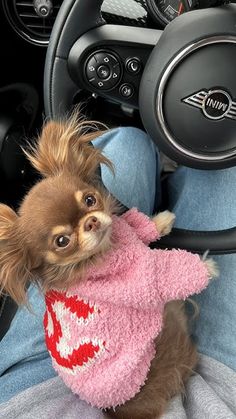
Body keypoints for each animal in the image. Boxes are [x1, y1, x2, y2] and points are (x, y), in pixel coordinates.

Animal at [0, 116, 218, 419]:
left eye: (90, 200)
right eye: (62, 241)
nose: (91, 222)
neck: (106, 247)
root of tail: (119, 410)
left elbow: (137, 226)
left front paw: (161, 221)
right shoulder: (139, 279)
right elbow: (163, 273)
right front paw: (206, 266)